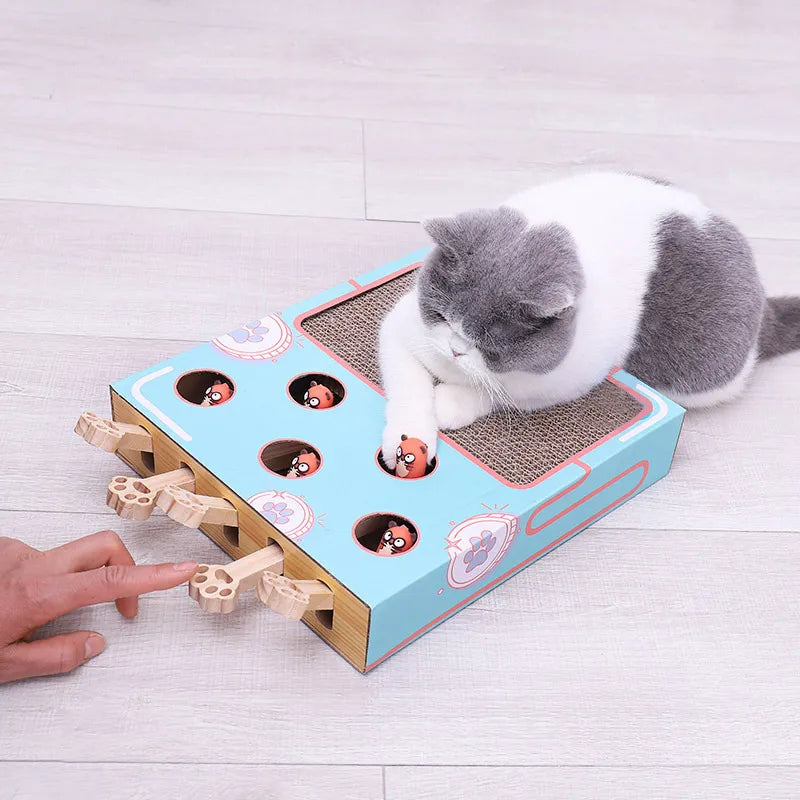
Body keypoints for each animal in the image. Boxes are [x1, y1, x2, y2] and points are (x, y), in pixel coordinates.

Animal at [378, 172, 800, 466]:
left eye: (491, 347)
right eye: (441, 316)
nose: (454, 351)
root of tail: (761, 300)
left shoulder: (569, 376)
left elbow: (508, 394)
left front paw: (450, 403)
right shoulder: (401, 328)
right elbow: (408, 385)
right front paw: (406, 439)